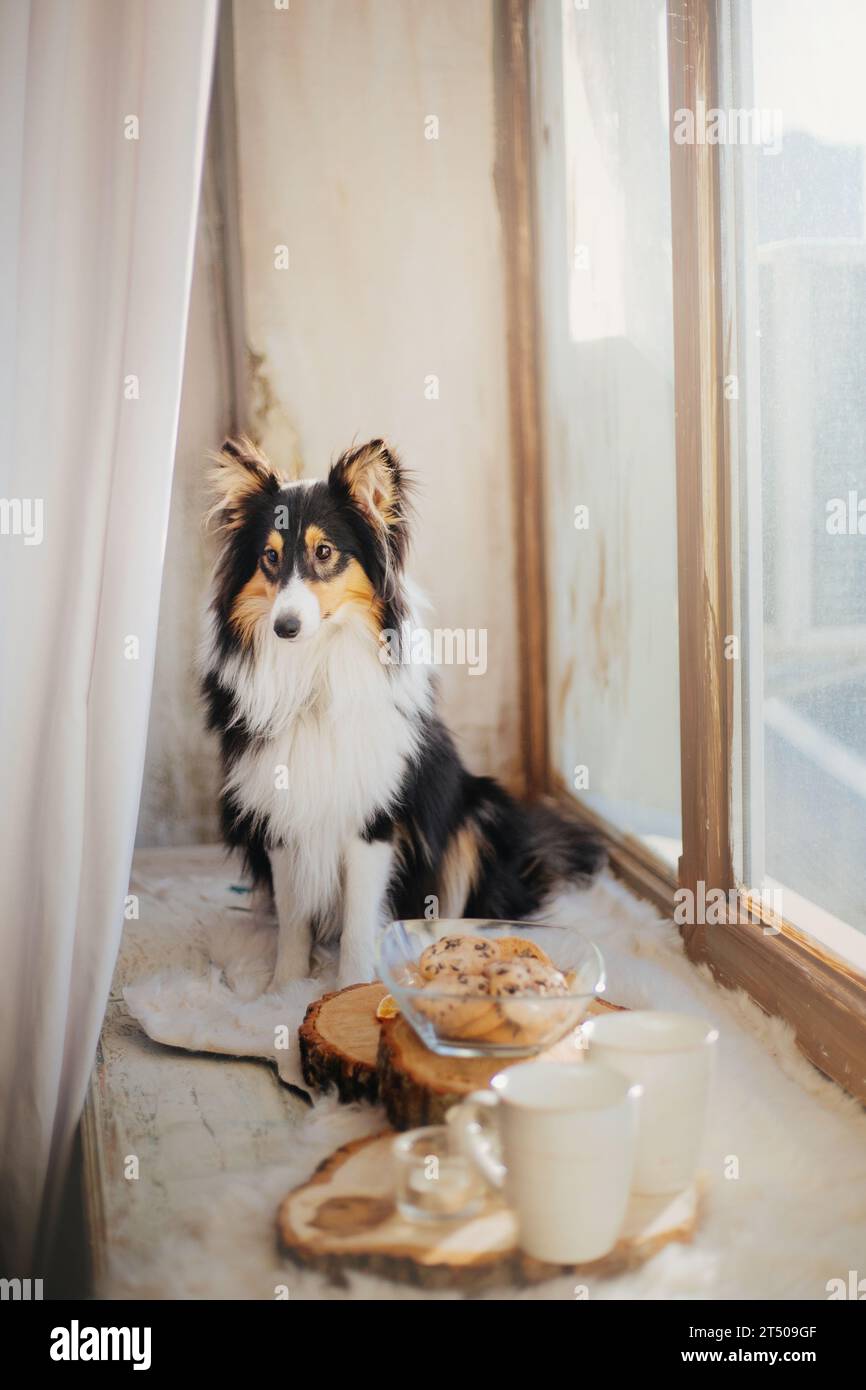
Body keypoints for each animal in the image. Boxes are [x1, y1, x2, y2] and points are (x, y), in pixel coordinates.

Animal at [201, 433, 603, 989]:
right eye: (269, 557)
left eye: (324, 552)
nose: (285, 627)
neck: (317, 669)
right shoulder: (279, 808)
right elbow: (293, 917)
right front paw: (284, 990)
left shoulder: (375, 818)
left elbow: (357, 922)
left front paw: (350, 988)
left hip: (473, 811)